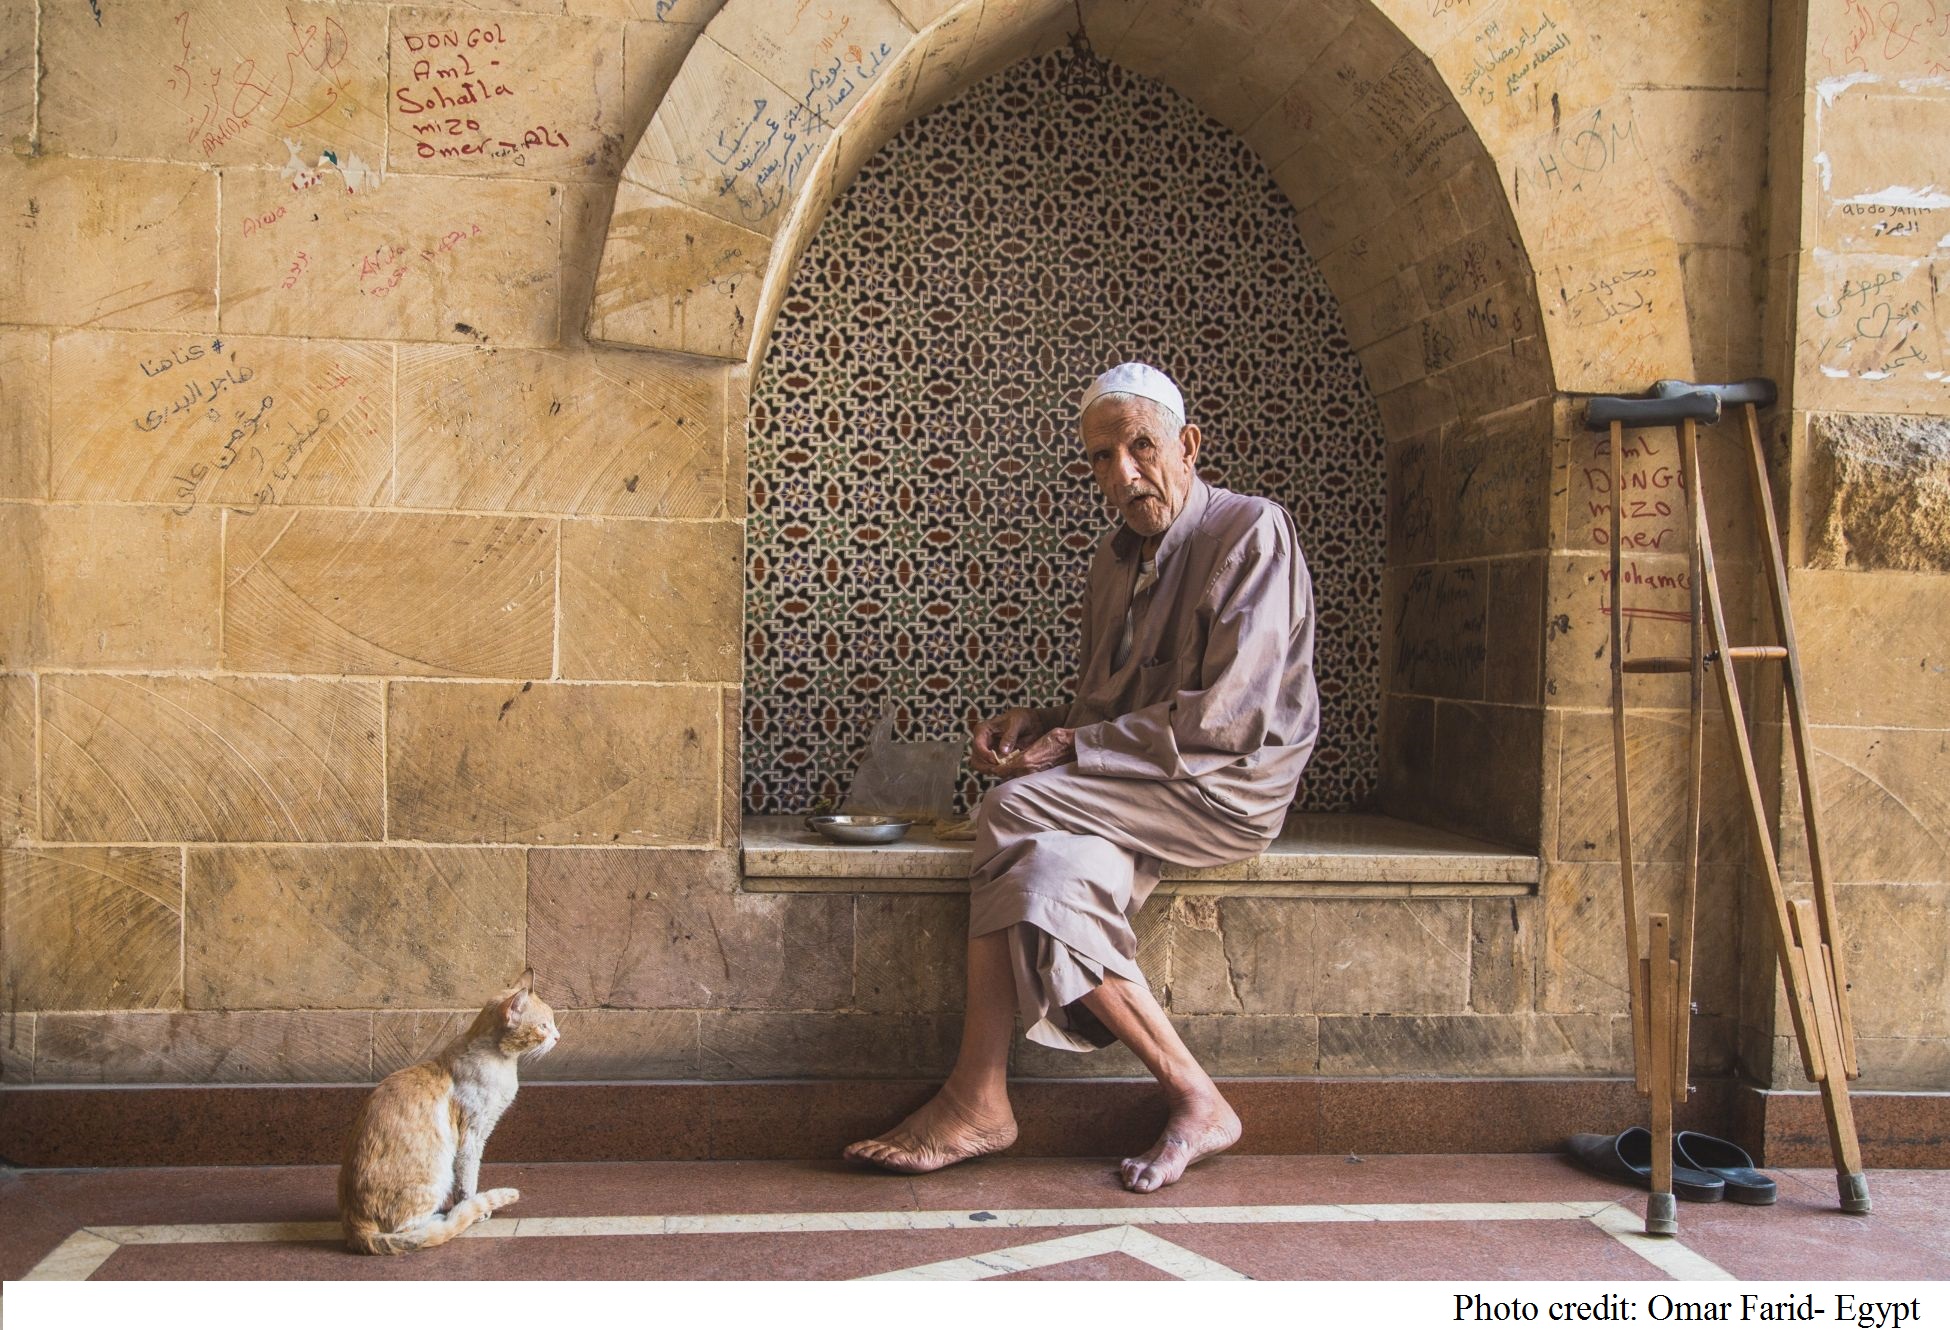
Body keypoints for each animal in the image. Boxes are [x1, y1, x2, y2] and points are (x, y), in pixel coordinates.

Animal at [337, 967, 557, 1248]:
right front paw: (472, 1209)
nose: (557, 1036)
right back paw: (447, 1218)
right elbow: (467, 1179)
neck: (502, 1062)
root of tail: (354, 1226)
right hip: (435, 1175)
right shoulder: (472, 1136)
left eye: (552, 1023)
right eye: (543, 1026)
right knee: (406, 1230)